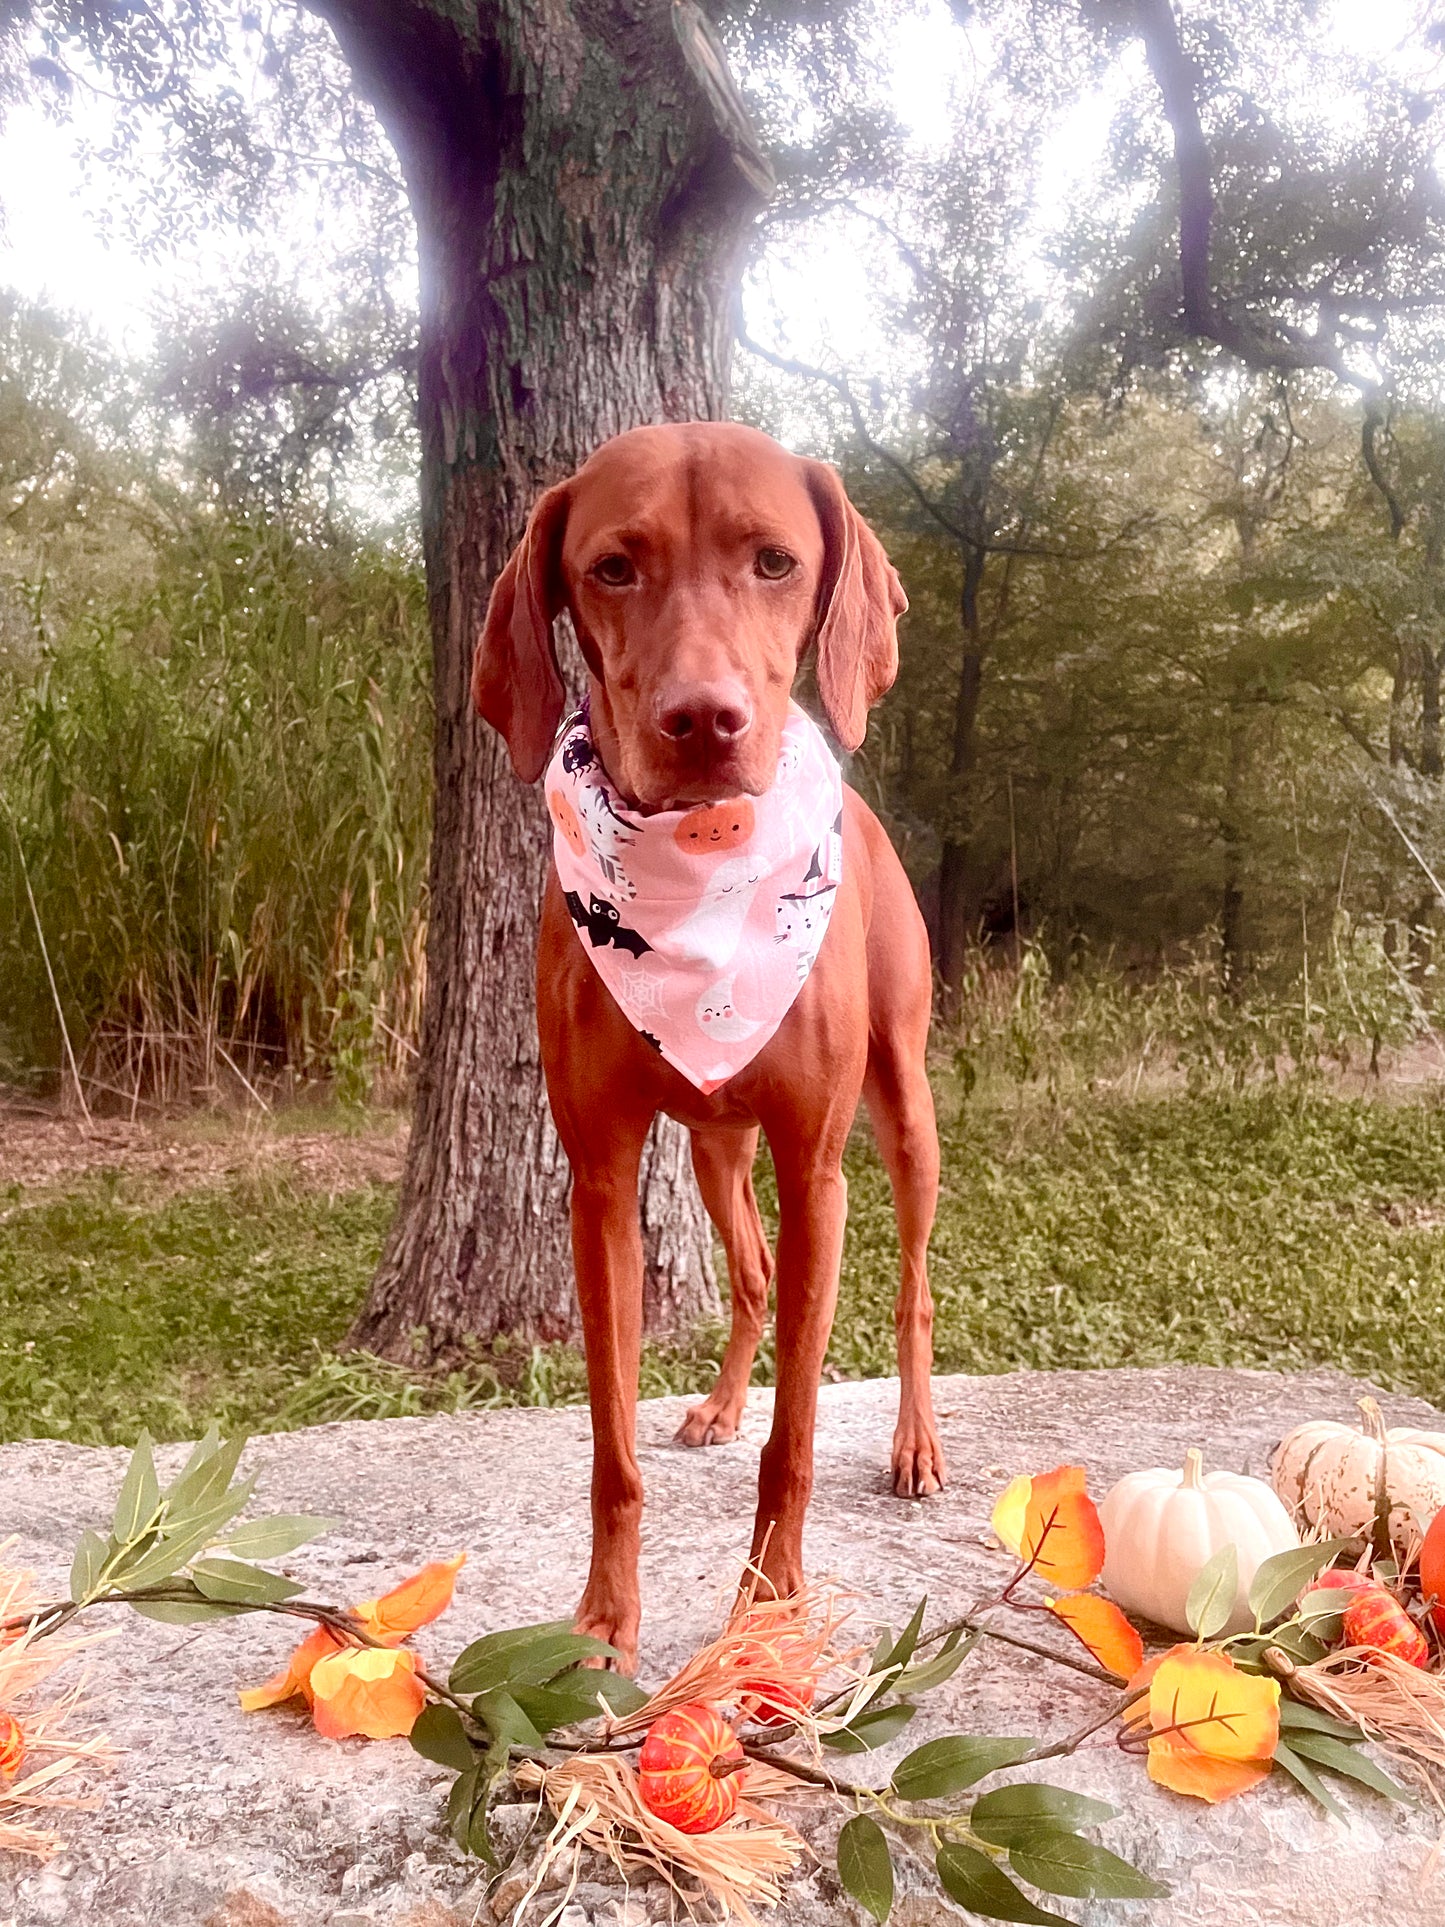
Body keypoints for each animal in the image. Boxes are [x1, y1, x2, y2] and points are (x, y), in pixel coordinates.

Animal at [475, 422, 951, 1672]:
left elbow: (797, 1437)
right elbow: (611, 1445)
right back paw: (727, 1399)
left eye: (774, 561)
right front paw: (604, 1617)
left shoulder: (816, 1164)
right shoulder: (598, 1180)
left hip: (901, 1109)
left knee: (911, 1287)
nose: (704, 720)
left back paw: (914, 1439)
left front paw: (771, 1607)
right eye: (610, 567)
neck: (696, 874)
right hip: (710, 1144)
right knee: (750, 1272)